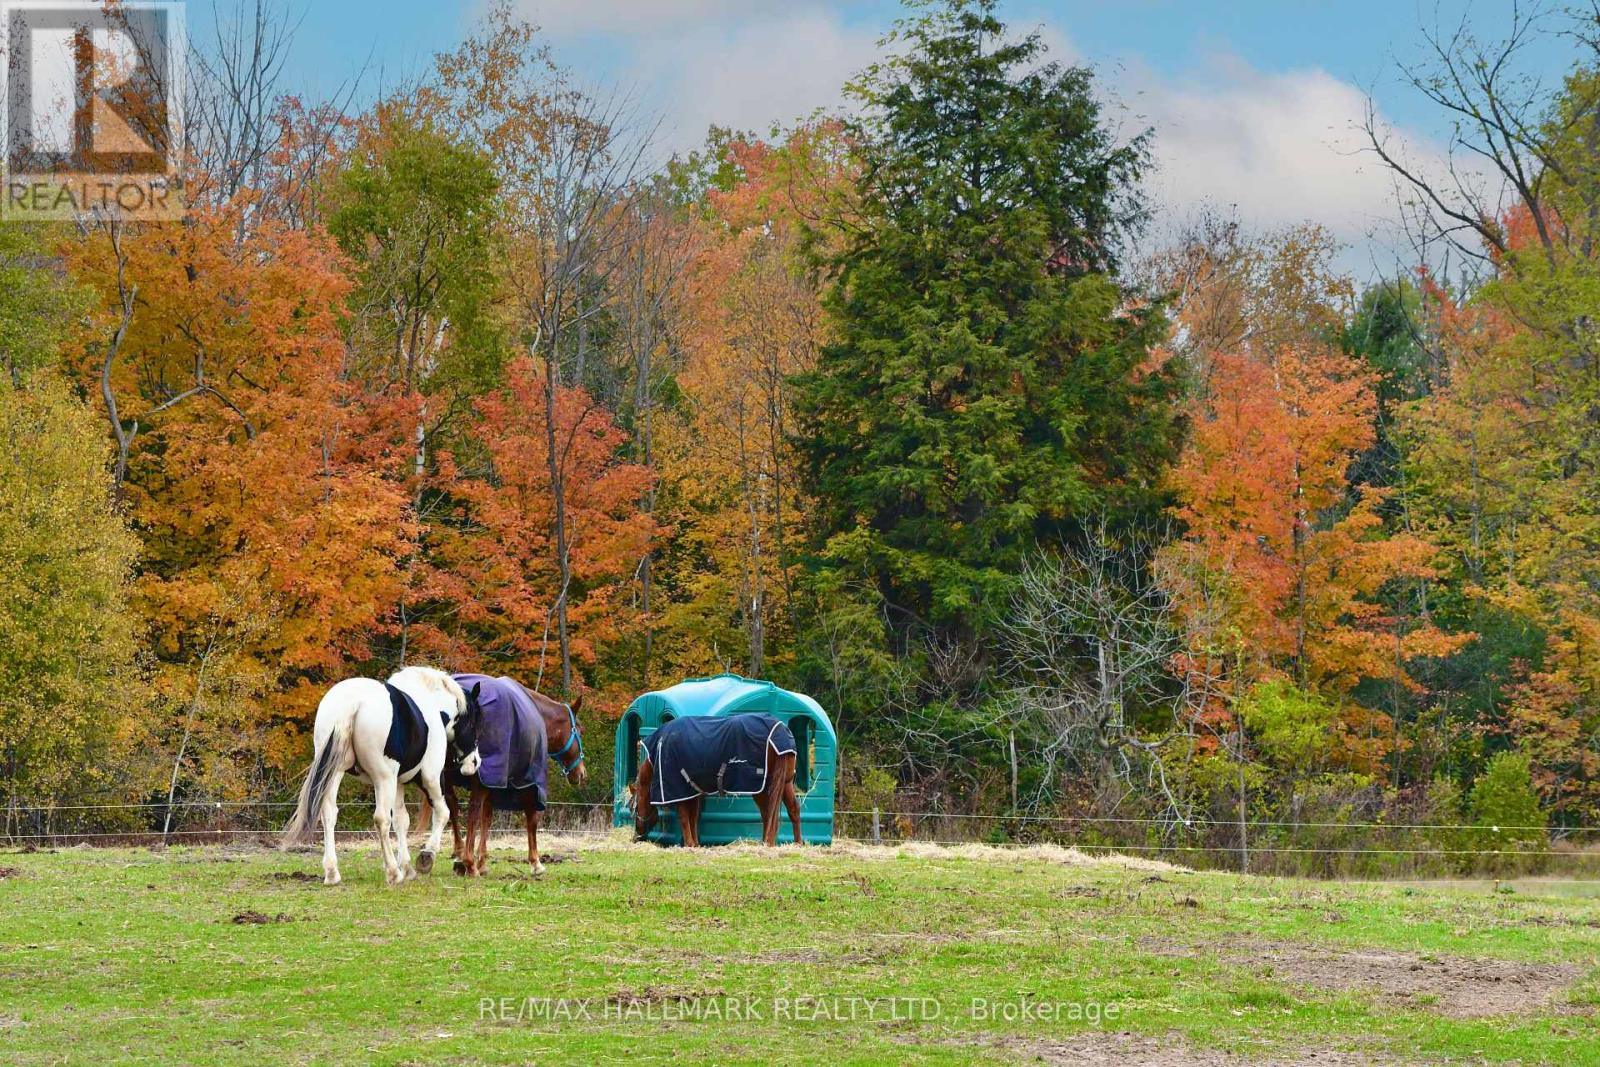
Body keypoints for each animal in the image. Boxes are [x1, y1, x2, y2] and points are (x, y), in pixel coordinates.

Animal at [281, 668, 483, 883]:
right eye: (474, 722)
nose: (474, 763)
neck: (431, 703)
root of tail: (352, 701)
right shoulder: (430, 777)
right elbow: (443, 813)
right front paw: (426, 857)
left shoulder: (398, 783)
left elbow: (402, 821)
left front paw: (408, 867)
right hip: (383, 779)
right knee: (381, 819)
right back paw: (393, 872)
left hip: (335, 774)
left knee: (329, 813)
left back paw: (332, 872)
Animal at [422, 675, 592, 876]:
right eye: (580, 731)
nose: (581, 773)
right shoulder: (527, 782)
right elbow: (531, 818)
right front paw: (536, 863)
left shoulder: (494, 780)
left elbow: (487, 817)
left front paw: (482, 862)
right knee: (472, 811)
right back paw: (468, 863)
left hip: (446, 774)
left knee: (452, 806)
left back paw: (459, 855)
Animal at [624, 716, 800, 851]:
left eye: (633, 808)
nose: (635, 837)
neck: (660, 750)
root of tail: (779, 732)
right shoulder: (692, 792)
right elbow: (693, 817)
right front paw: (694, 844)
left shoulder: (679, 792)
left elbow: (684, 817)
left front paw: (689, 844)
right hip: (785, 783)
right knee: (791, 809)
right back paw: (796, 843)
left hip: (761, 788)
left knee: (768, 812)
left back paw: (768, 843)